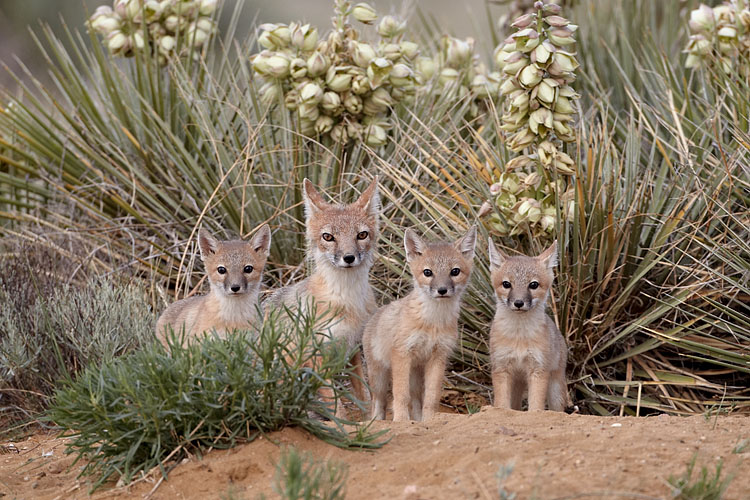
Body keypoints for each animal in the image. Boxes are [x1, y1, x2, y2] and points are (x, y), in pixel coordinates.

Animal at [264, 178, 380, 407]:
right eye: (328, 237)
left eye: (361, 235)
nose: (348, 257)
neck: (347, 300)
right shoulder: (316, 359)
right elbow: (337, 409)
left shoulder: (352, 349)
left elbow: (363, 397)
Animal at [363, 226, 477, 422]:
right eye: (427, 272)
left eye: (455, 272)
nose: (442, 290)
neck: (433, 322)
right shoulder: (401, 354)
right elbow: (400, 394)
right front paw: (401, 421)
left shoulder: (439, 356)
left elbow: (431, 397)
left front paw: (429, 420)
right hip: (379, 378)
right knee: (378, 403)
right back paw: (376, 422)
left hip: (415, 374)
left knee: (416, 400)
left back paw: (417, 420)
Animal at [487, 238, 568, 412]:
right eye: (506, 284)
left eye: (533, 285)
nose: (518, 303)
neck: (519, 337)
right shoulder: (501, 367)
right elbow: (502, 406)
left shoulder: (538, 369)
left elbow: (536, 407)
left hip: (555, 391)